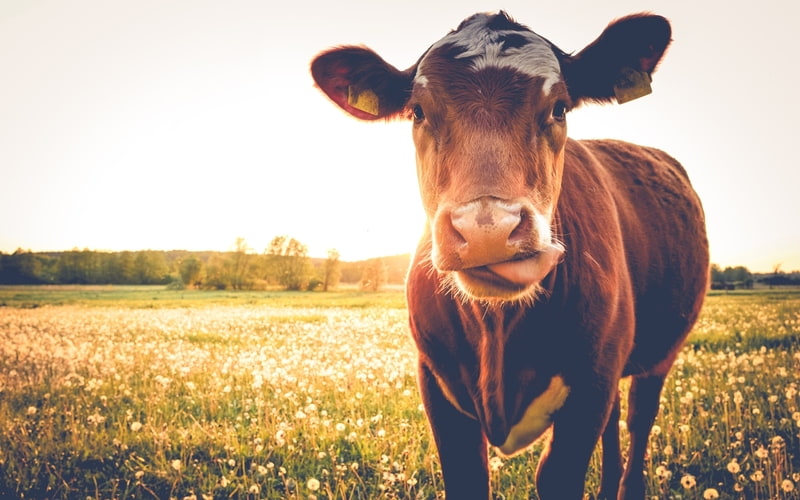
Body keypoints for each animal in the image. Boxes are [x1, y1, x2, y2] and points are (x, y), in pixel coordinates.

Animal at [311, 11, 708, 500]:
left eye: (559, 108)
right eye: (418, 111)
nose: (488, 230)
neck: (498, 330)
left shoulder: (590, 387)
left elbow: (557, 472)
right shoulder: (436, 385)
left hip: (660, 353)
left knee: (638, 418)